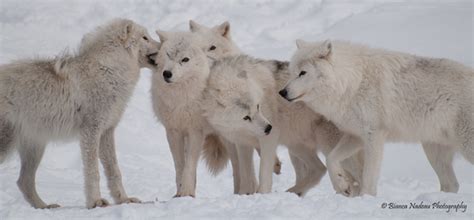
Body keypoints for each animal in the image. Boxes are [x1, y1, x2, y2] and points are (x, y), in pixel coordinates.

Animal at [0, 18, 160, 208]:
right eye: (145, 37)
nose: (164, 46)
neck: (111, 70)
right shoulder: (90, 132)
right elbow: (93, 172)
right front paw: (96, 202)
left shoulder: (107, 131)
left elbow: (114, 171)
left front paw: (124, 200)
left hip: (35, 147)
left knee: (24, 182)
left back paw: (45, 207)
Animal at [201, 55, 362, 196]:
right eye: (246, 117)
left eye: (258, 107)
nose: (268, 128)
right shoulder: (243, 143)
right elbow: (246, 176)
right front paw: (244, 195)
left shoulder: (269, 140)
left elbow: (264, 174)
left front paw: (262, 196)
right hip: (296, 146)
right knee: (319, 169)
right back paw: (294, 192)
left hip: (328, 146)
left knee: (354, 177)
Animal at [282, 39, 474, 196]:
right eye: (291, 72)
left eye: (303, 73)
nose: (282, 92)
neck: (352, 83)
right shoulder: (355, 136)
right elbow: (331, 159)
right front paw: (341, 185)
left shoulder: (373, 136)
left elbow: (368, 176)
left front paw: (365, 198)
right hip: (433, 151)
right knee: (452, 185)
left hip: (464, 148)